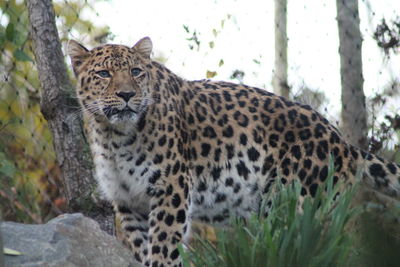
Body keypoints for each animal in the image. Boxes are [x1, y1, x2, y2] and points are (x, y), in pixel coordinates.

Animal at [68, 37, 400, 267]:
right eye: (103, 74)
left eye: (136, 72)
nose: (127, 94)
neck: (114, 137)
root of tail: (342, 142)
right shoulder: (128, 202)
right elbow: (143, 246)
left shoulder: (170, 188)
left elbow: (164, 244)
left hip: (291, 206)